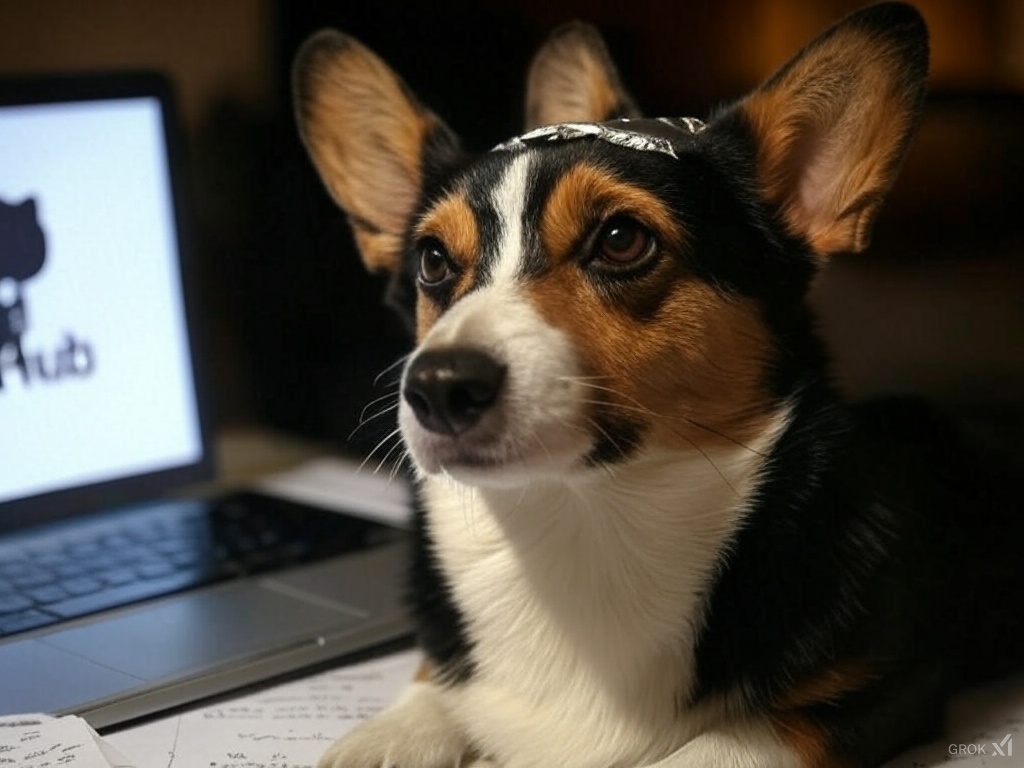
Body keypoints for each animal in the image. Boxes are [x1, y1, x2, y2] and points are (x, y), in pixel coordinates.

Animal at [292, 3, 1019, 765]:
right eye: (432, 260)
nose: (437, 388)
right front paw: (385, 736)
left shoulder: (881, 683)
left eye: (621, 239)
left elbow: (727, 740)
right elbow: (434, 684)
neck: (583, 524)